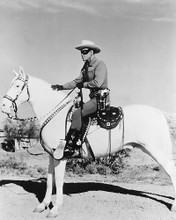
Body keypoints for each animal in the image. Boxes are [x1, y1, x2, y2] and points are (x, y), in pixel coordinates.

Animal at [1, 67, 176, 218]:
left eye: (17, 85)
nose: (4, 106)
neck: (57, 115)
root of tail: (159, 113)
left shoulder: (61, 157)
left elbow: (59, 181)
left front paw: (55, 209)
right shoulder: (51, 156)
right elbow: (50, 181)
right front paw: (42, 205)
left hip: (157, 152)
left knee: (172, 172)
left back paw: (173, 206)